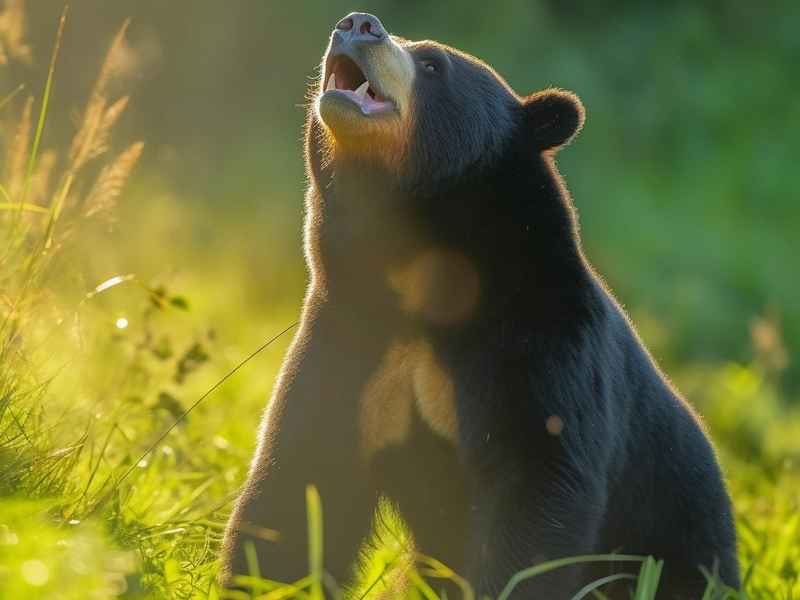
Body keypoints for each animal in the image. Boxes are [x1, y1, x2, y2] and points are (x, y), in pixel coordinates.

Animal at [221, 11, 740, 599]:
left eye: (432, 64)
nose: (357, 24)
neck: (424, 280)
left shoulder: (543, 345)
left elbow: (537, 484)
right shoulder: (351, 330)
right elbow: (303, 476)